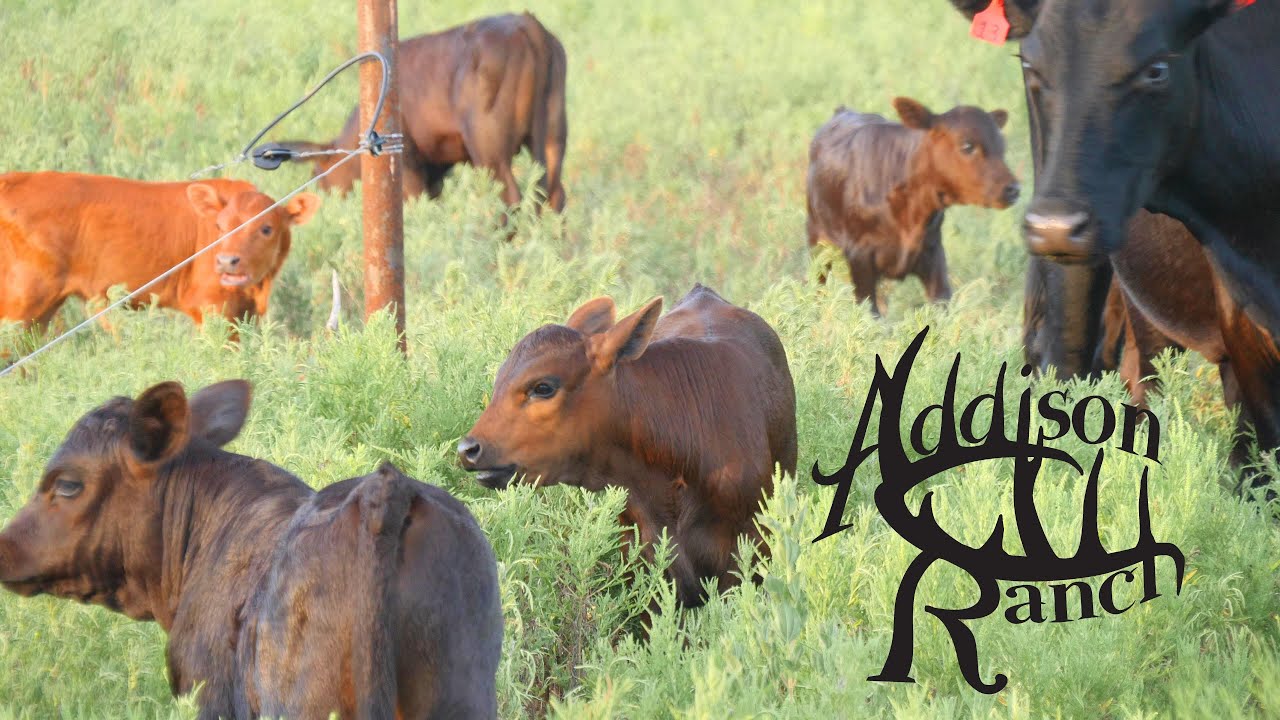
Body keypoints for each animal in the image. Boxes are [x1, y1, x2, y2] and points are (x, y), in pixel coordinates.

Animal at [0, 171, 319, 329]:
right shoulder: (210, 305)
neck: (258, 288)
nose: (227, 261)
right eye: (219, 225)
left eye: (266, 228)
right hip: (21, 299)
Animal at [281, 12, 567, 212]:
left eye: (317, 178)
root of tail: (526, 23)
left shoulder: (409, 163)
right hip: (553, 136)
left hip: (489, 147)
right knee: (555, 195)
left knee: (510, 198)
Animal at [806, 98, 1019, 316]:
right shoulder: (859, 255)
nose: (1013, 189)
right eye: (967, 145)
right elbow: (870, 311)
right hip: (817, 238)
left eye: (1002, 146)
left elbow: (940, 308)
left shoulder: (933, 251)